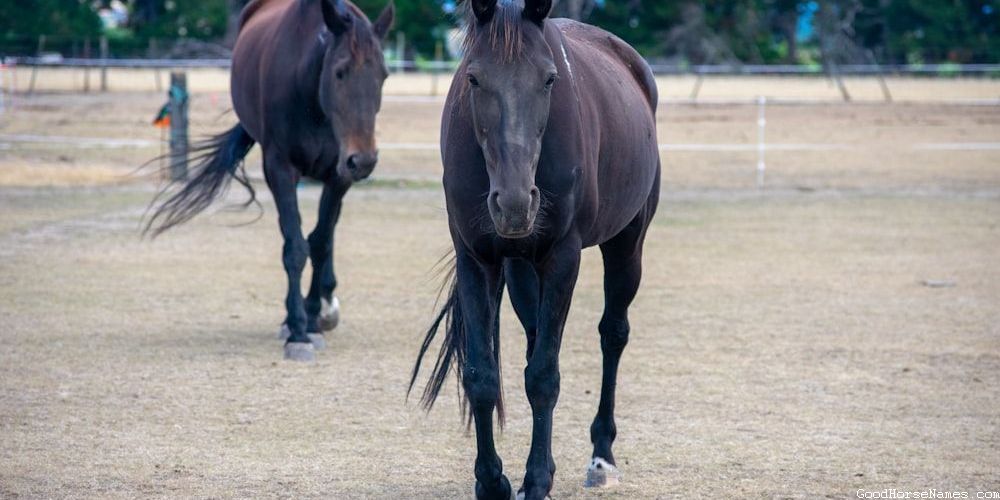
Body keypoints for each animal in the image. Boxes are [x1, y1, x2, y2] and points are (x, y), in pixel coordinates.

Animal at [145, 0, 394, 362]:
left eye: (383, 75)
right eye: (340, 71)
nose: (363, 160)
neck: (310, 97)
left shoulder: (337, 176)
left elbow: (320, 242)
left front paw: (314, 317)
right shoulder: (280, 169)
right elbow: (296, 247)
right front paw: (299, 331)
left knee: (326, 232)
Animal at [409, 0, 660, 498]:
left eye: (549, 79)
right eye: (473, 77)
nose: (514, 203)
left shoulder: (563, 257)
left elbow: (544, 377)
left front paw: (538, 478)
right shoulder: (476, 258)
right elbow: (483, 376)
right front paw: (493, 480)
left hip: (627, 244)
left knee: (613, 334)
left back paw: (601, 457)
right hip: (522, 269)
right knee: (533, 341)